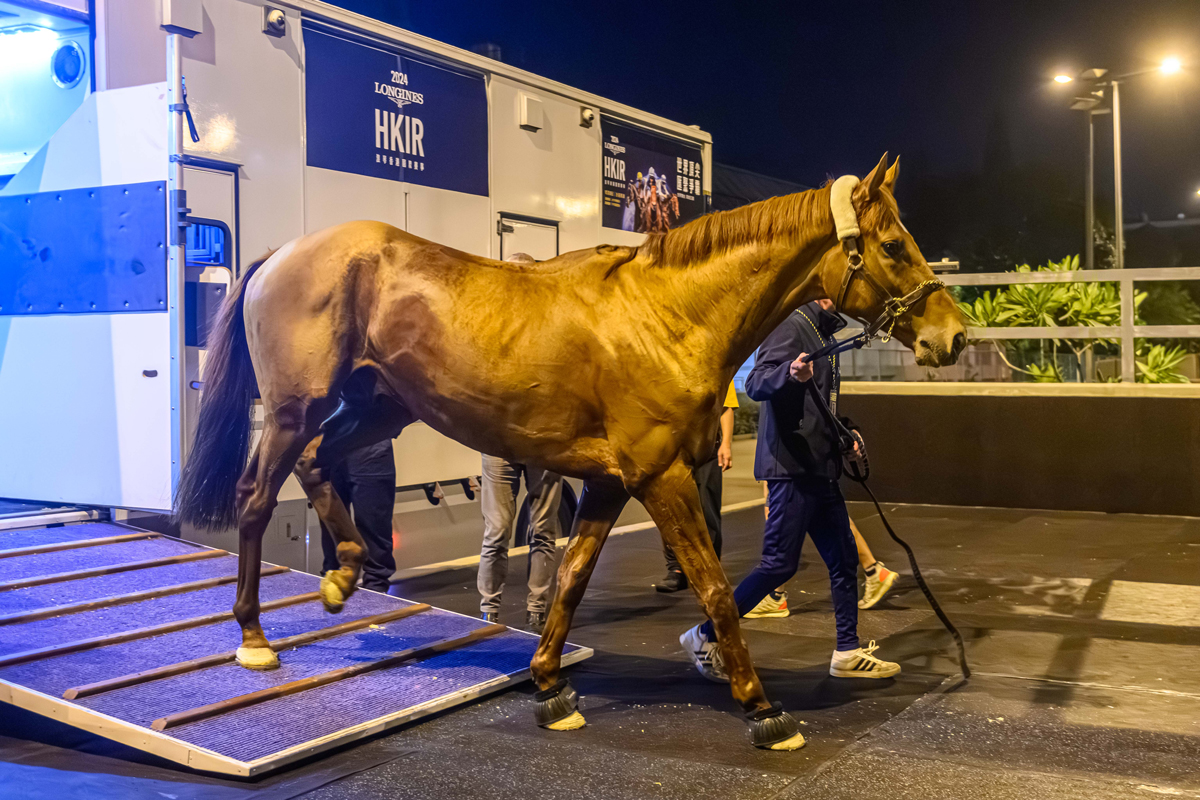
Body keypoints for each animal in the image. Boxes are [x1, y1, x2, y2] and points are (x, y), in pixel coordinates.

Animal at [175, 154, 964, 743]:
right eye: (893, 245)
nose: (951, 336)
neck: (666, 315)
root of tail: (284, 253)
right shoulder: (662, 476)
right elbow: (713, 585)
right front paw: (762, 708)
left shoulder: (611, 482)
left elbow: (573, 579)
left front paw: (551, 687)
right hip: (292, 410)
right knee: (256, 497)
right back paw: (253, 635)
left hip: (375, 409)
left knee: (317, 464)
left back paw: (341, 574)